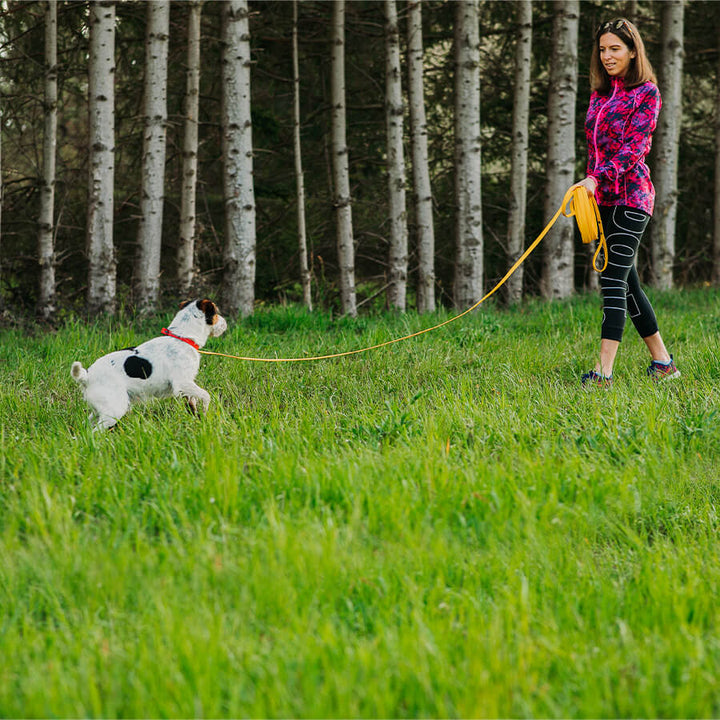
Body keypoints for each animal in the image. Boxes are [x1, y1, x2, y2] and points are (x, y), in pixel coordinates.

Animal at [70, 296, 228, 428]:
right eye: (215, 313)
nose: (225, 323)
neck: (182, 337)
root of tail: (87, 376)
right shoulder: (182, 382)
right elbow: (206, 395)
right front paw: (205, 413)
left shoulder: (186, 386)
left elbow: (192, 401)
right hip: (114, 410)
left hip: (98, 411)